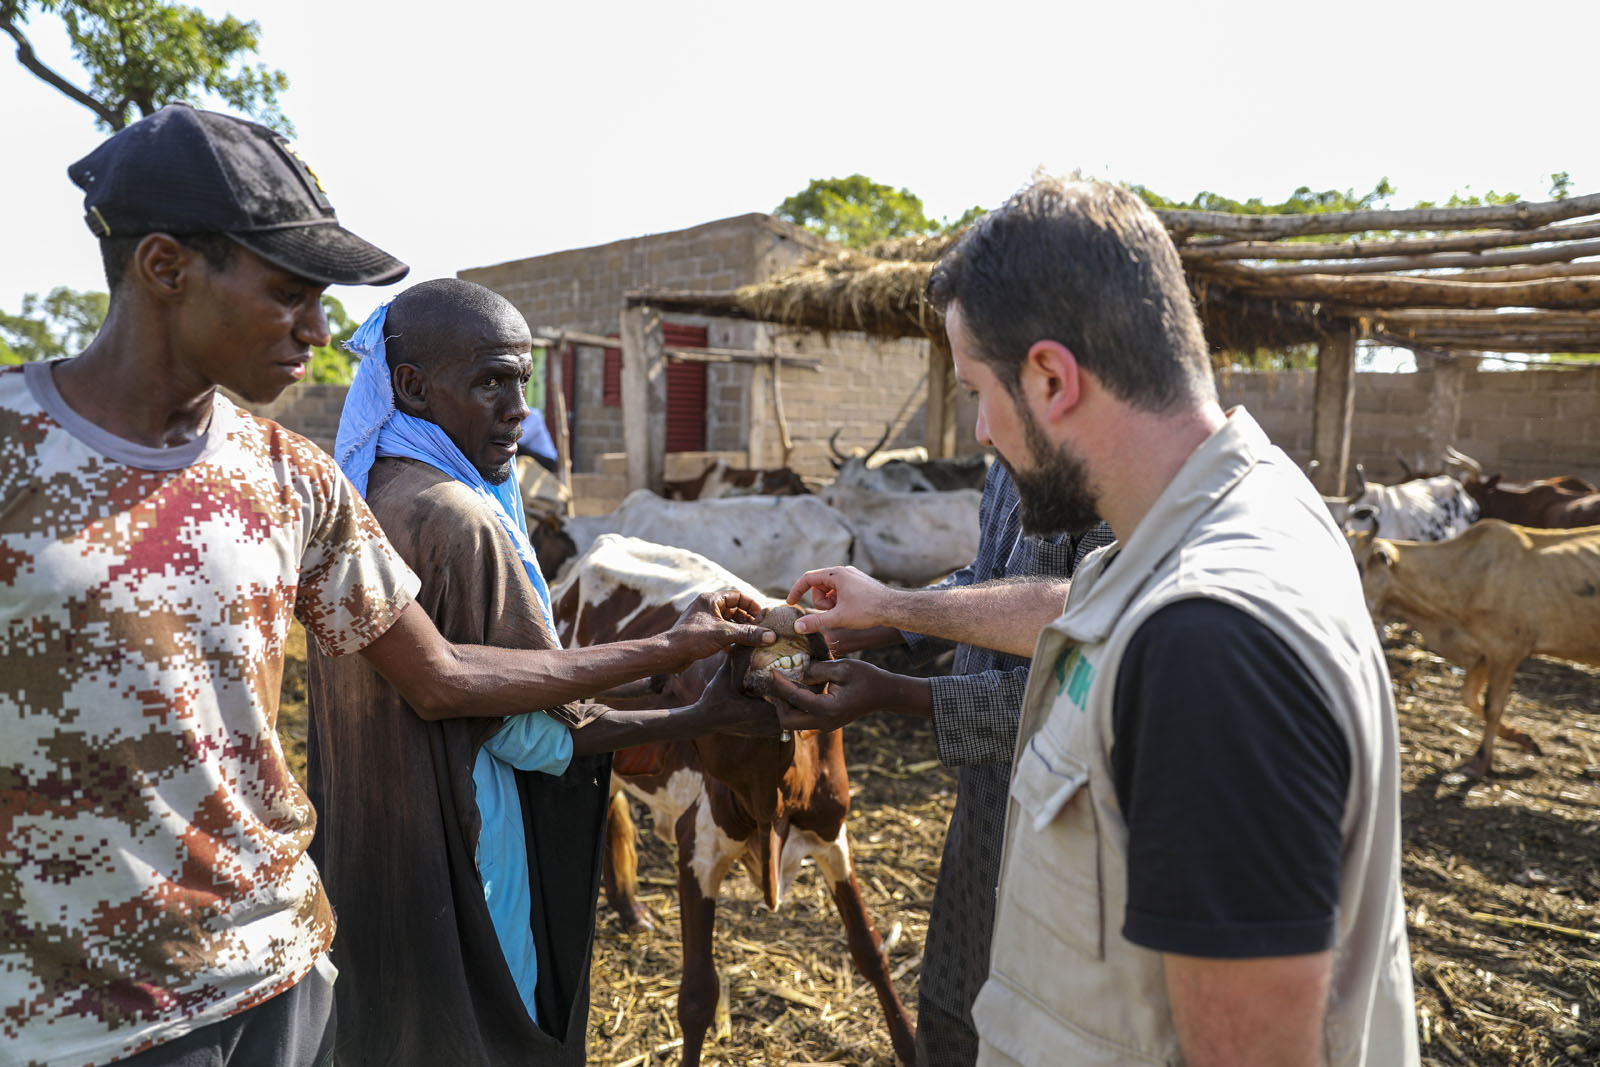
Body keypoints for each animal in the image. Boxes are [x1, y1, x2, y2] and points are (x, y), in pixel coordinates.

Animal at [556, 537, 921, 1062]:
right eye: (685, 685)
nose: (775, 614)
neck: (771, 794)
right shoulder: (698, 851)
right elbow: (697, 995)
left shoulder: (833, 836)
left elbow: (870, 950)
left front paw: (911, 1045)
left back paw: (630, 910)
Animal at [1350, 518, 1600, 777]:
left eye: (1358, 566)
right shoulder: (1482, 654)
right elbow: (1469, 697)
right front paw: (1522, 737)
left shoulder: (1506, 652)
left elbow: (1493, 706)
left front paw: (1481, 760)